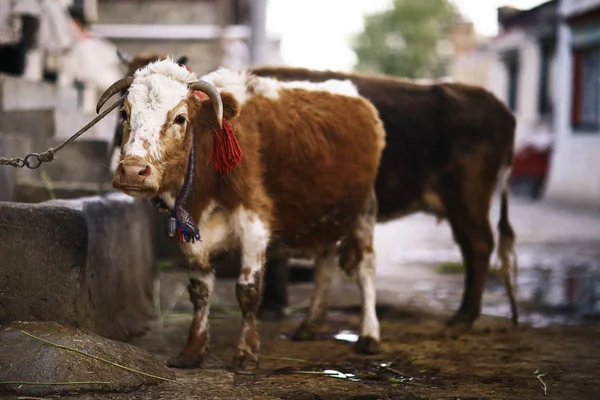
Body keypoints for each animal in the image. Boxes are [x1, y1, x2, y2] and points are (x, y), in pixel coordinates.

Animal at [96, 57, 386, 372]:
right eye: (125, 113)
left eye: (180, 118)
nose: (132, 171)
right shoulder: (194, 235)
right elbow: (200, 293)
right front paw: (192, 351)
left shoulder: (254, 224)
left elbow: (248, 291)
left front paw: (246, 353)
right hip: (325, 214)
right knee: (325, 263)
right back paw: (309, 325)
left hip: (364, 210)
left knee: (366, 270)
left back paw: (370, 335)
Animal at [109, 54, 520, 336]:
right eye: (123, 114)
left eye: (180, 118)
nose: (130, 168)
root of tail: (500, 107)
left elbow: (275, 258)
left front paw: (273, 307)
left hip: (466, 199)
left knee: (478, 245)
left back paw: (463, 317)